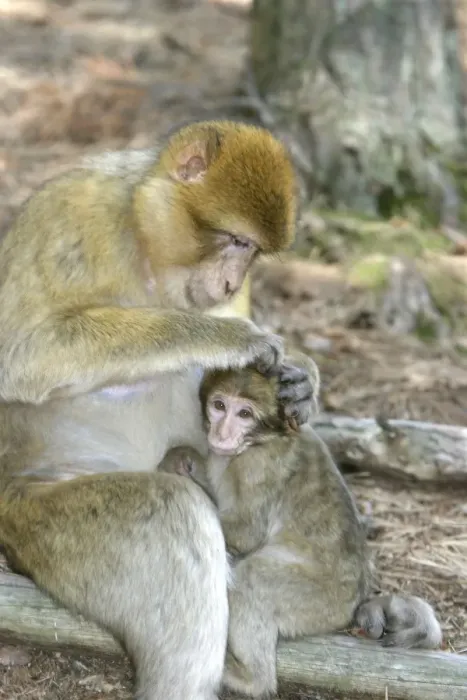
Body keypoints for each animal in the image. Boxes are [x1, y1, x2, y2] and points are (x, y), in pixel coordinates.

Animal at [0, 120, 321, 700]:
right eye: (236, 241)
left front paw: (301, 377)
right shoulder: (72, 214)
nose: (231, 282)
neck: (145, 242)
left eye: (253, 254)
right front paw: (223, 337)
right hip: (33, 517)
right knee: (172, 512)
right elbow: (22, 356)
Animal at [159, 365, 443, 698]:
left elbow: (247, 533)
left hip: (316, 601)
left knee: (252, 577)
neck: (261, 439)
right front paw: (181, 460)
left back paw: (251, 678)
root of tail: (355, 601)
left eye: (244, 413)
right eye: (219, 406)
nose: (222, 433)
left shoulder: (257, 465)